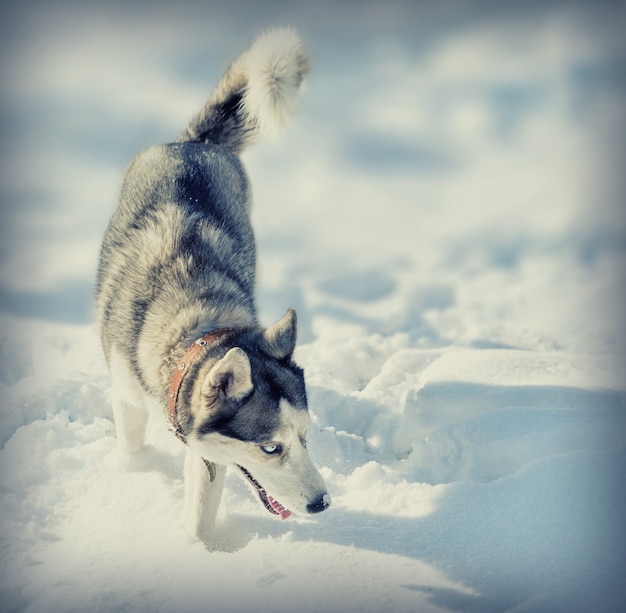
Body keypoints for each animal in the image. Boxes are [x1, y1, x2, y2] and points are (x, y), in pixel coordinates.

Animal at [95, 27, 330, 544]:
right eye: (270, 448)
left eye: (305, 436)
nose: (323, 504)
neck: (197, 328)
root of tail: (192, 145)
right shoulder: (128, 393)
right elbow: (131, 440)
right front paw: (134, 475)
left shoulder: (202, 449)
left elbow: (200, 509)